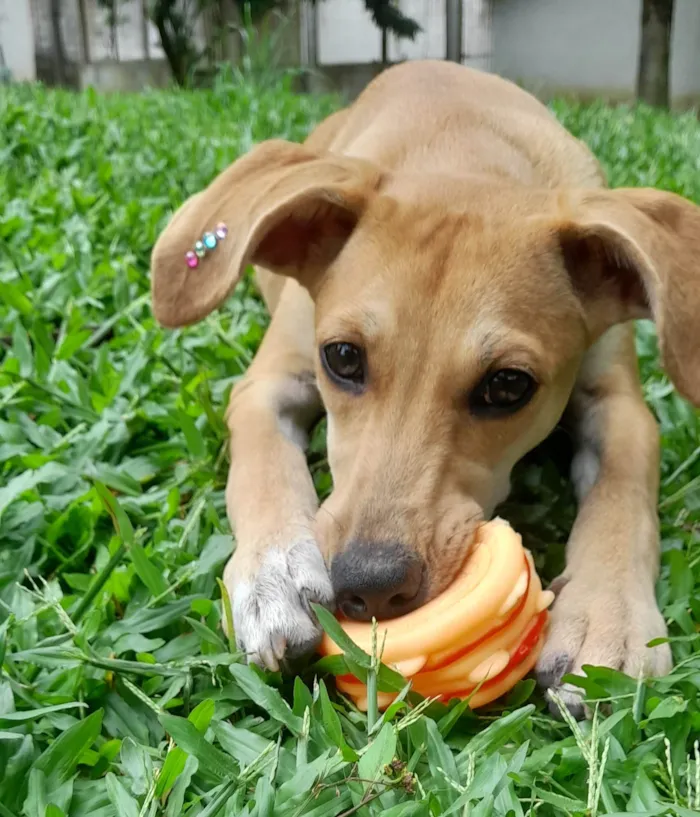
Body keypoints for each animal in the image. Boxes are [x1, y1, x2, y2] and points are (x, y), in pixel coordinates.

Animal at [150, 60, 696, 712]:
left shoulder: (619, 406)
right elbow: (260, 469)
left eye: (508, 386)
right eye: (342, 357)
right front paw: (273, 572)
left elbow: (623, 496)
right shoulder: (266, 384)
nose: (369, 587)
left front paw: (609, 617)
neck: (463, 150)